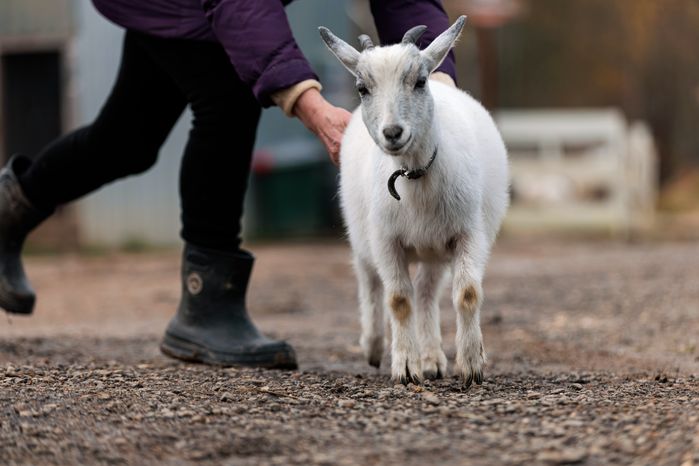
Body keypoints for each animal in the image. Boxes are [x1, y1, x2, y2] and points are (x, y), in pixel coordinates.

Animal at [319, 16, 509, 386]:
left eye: (420, 81)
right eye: (362, 88)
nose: (393, 133)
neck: (414, 176)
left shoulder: (468, 233)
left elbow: (467, 293)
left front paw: (471, 364)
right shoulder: (386, 240)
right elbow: (398, 299)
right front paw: (406, 367)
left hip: (433, 249)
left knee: (426, 291)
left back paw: (433, 358)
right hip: (361, 233)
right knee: (369, 279)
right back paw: (374, 345)